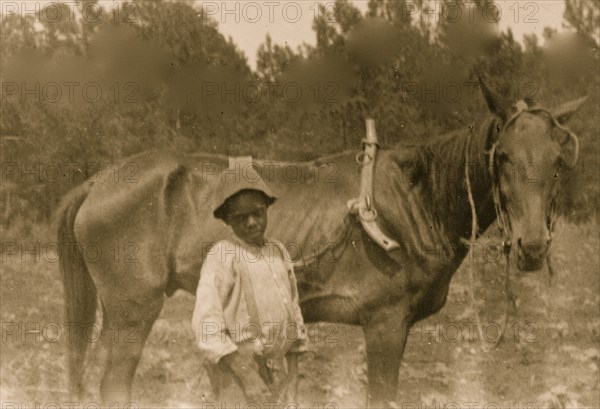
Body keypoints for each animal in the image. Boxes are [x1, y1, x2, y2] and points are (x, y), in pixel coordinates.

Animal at [57, 81, 584, 406]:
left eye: (558, 160)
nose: (532, 246)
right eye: (504, 156)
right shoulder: (385, 324)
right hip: (132, 313)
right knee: (113, 386)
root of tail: (99, 181)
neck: (417, 199)